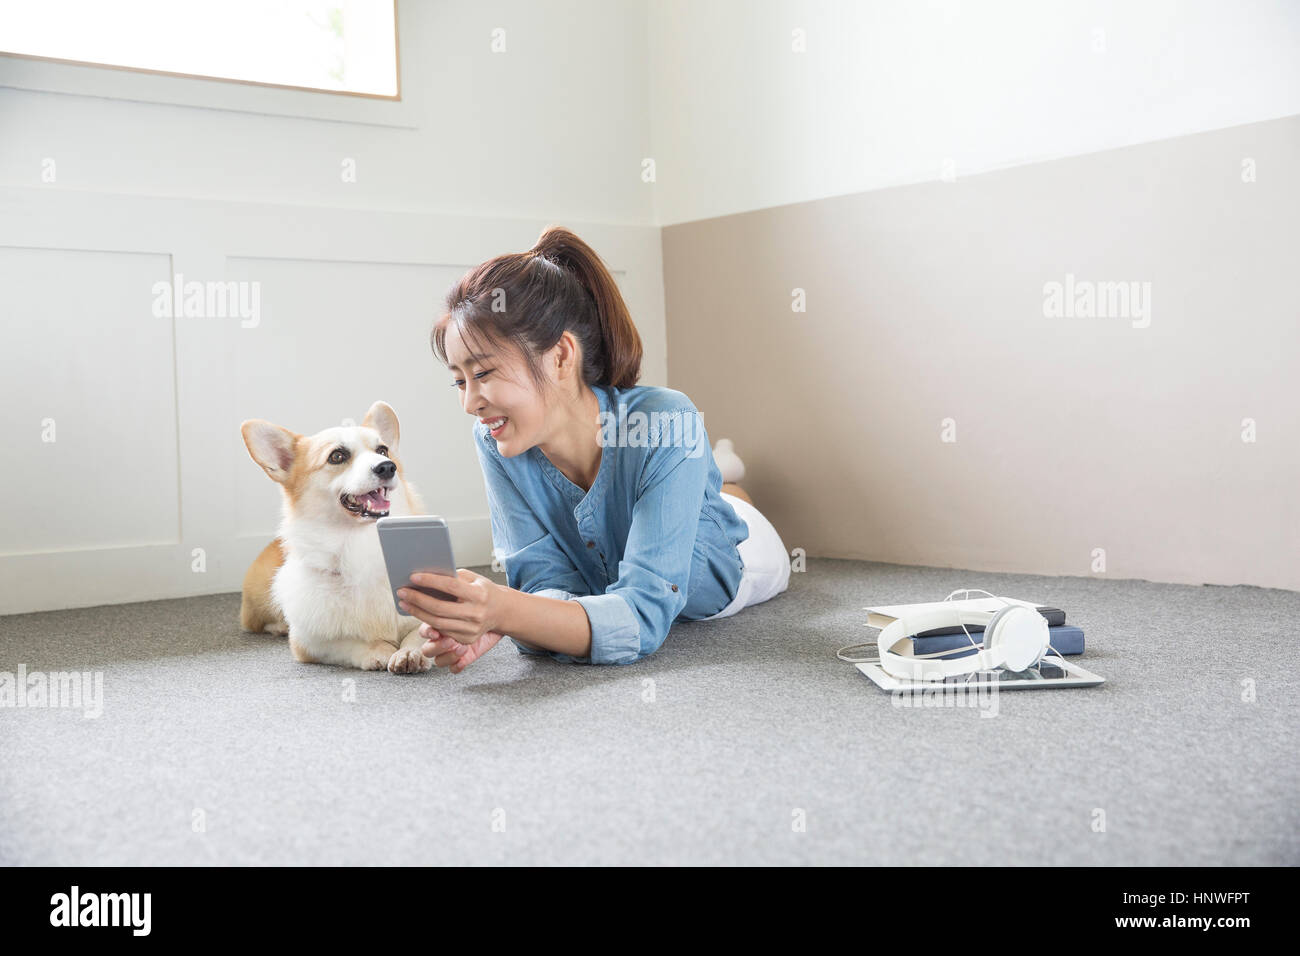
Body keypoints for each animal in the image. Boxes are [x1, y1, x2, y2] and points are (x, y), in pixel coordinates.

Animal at [239, 403, 431, 671]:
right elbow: (350, 643)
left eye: (383, 450)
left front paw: (409, 653)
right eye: (337, 456)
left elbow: (418, 636)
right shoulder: (309, 643)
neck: (360, 543)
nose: (387, 467)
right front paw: (380, 650)